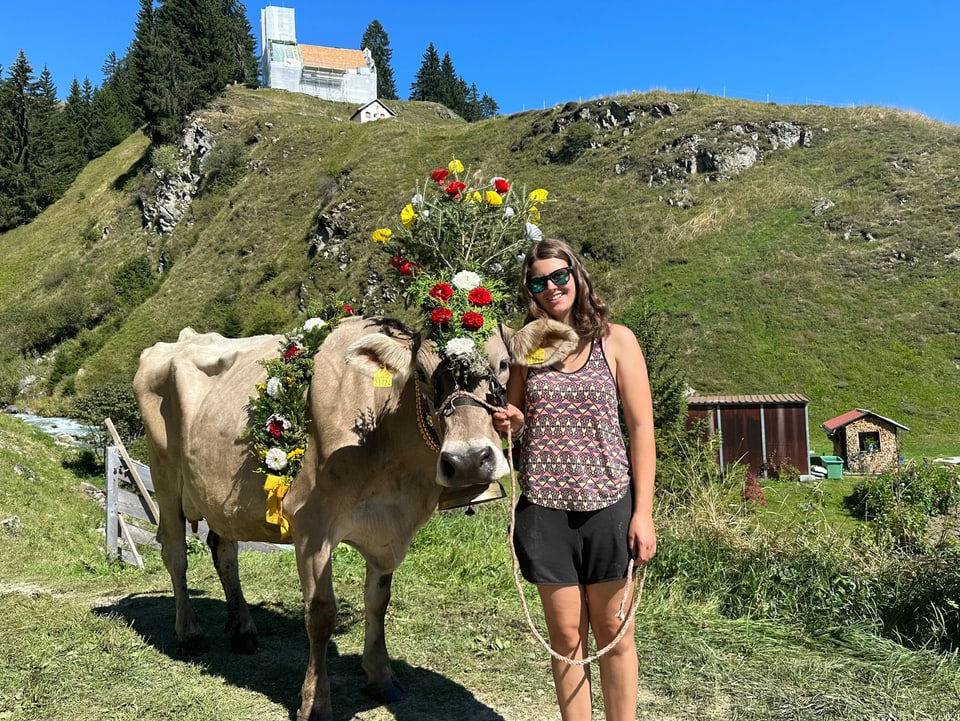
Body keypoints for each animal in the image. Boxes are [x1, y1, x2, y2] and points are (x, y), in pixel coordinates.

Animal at [134, 316, 576, 720]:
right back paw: (190, 634)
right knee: (175, 553)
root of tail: (180, 338)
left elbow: (378, 602)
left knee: (223, 548)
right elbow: (320, 614)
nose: (467, 460)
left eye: (502, 364)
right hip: (164, 475)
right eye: (420, 374)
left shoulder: (388, 531)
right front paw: (315, 703)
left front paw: (380, 678)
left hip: (216, 495)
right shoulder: (311, 525)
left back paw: (242, 631)